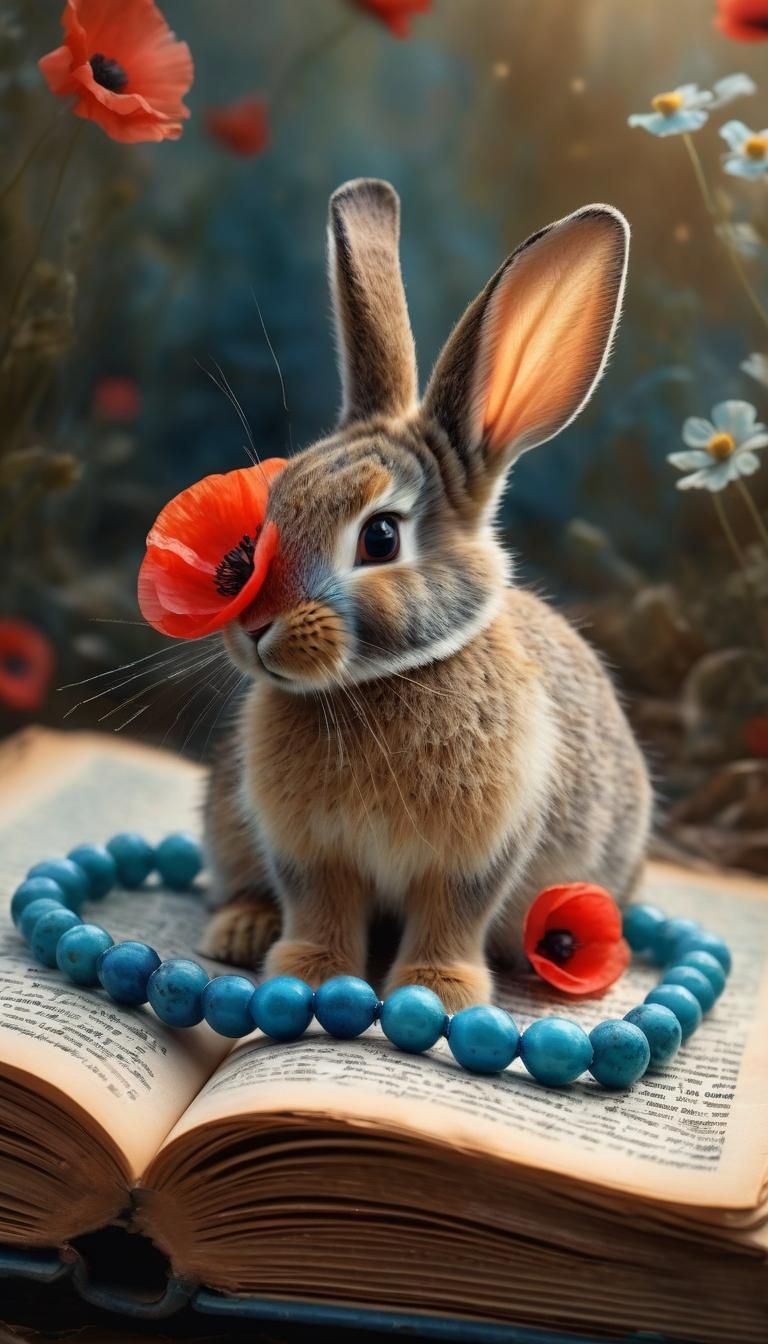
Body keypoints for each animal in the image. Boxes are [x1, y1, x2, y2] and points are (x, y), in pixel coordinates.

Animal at [201, 177, 652, 1012]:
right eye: (273, 506)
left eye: (380, 538)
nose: (254, 627)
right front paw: (309, 973)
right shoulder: (309, 852)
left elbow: (451, 915)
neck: (378, 683)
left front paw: (438, 993)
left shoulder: (479, 856)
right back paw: (239, 932)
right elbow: (321, 905)